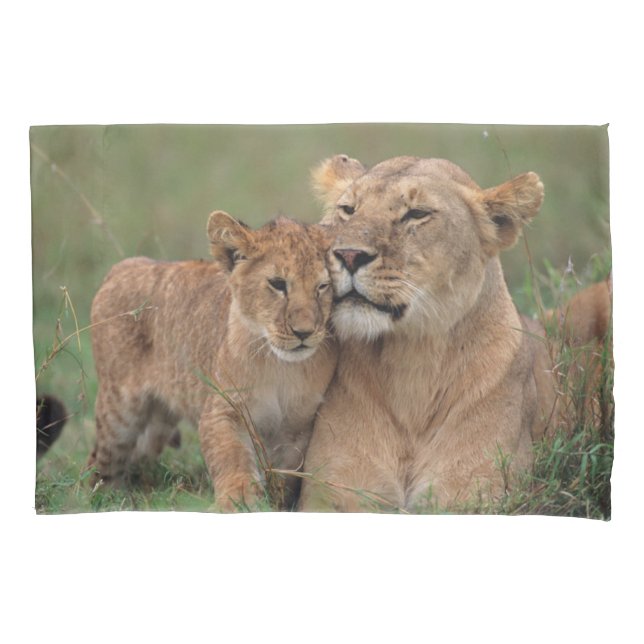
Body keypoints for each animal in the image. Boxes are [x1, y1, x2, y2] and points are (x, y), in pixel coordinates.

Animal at [88, 212, 337, 510]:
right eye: (278, 284)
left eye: (322, 287)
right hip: (119, 411)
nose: (304, 332)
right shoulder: (223, 409)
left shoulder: (299, 428)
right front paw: (238, 500)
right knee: (99, 462)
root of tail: (122, 267)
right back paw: (101, 497)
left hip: (158, 423)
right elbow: (232, 457)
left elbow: (285, 476)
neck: (282, 367)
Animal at [299, 154, 609, 513]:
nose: (349, 255)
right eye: (348, 209)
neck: (410, 364)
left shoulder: (475, 494)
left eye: (416, 214)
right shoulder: (332, 493)